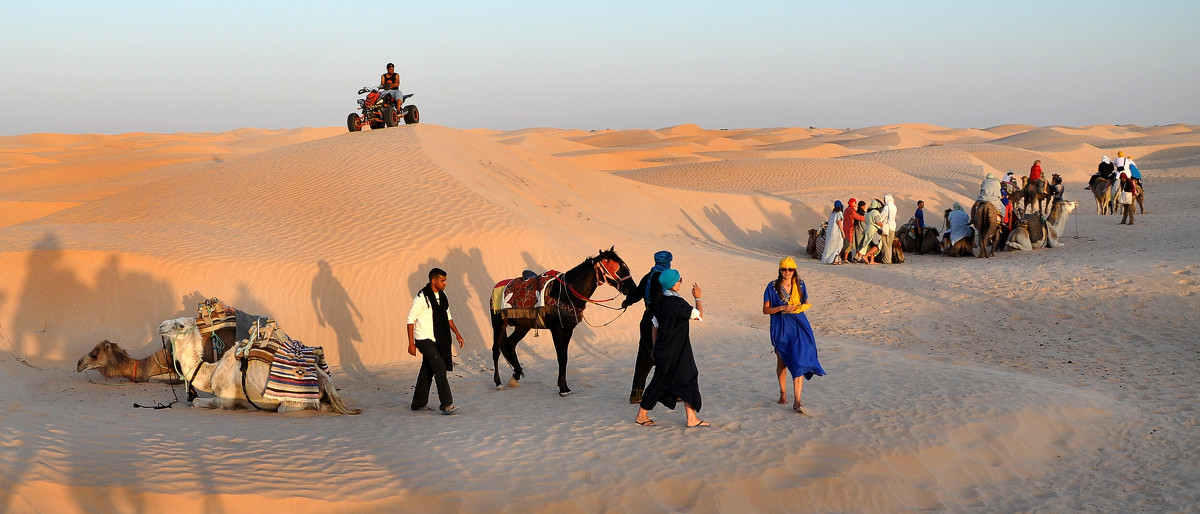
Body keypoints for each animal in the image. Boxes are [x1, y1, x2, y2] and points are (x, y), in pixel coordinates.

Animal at [158, 314, 360, 415]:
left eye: (180, 325)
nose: (160, 326)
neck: (213, 372)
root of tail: (324, 378)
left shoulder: (225, 400)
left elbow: (197, 402)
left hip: (293, 402)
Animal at [489, 248, 638, 398]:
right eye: (618, 268)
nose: (633, 288)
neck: (567, 293)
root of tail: (496, 287)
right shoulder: (556, 330)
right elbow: (561, 357)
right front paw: (562, 388)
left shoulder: (568, 331)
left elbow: (565, 358)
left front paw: (565, 386)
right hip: (499, 324)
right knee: (496, 350)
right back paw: (498, 382)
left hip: (523, 326)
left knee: (510, 344)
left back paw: (516, 375)